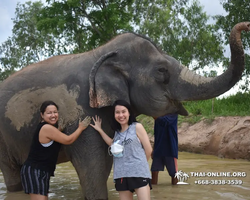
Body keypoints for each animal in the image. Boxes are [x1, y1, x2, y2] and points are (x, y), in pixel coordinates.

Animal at [0, 21, 249, 199]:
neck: (100, 53)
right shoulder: (82, 109)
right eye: (162, 71)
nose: (245, 25)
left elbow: (105, 162)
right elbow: (93, 167)